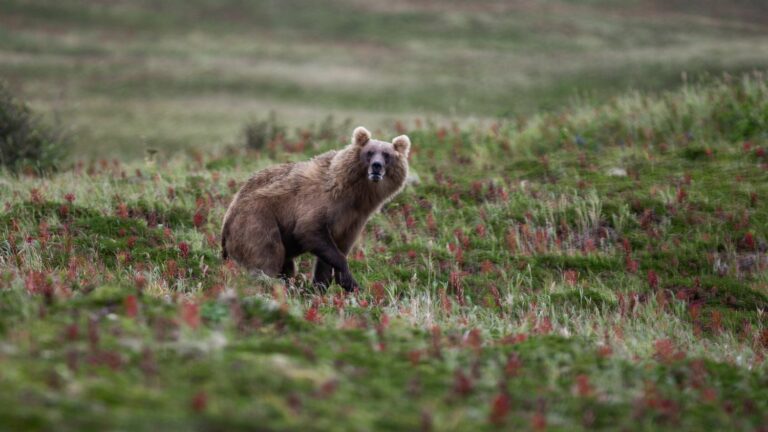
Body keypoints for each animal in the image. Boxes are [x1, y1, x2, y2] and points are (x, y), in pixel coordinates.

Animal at [219, 126, 412, 292]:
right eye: (370, 152)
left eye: (387, 155)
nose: (376, 166)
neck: (355, 195)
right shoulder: (319, 204)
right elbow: (310, 231)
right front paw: (348, 278)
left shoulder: (353, 220)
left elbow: (332, 254)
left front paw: (325, 286)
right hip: (257, 221)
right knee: (267, 256)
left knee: (287, 266)